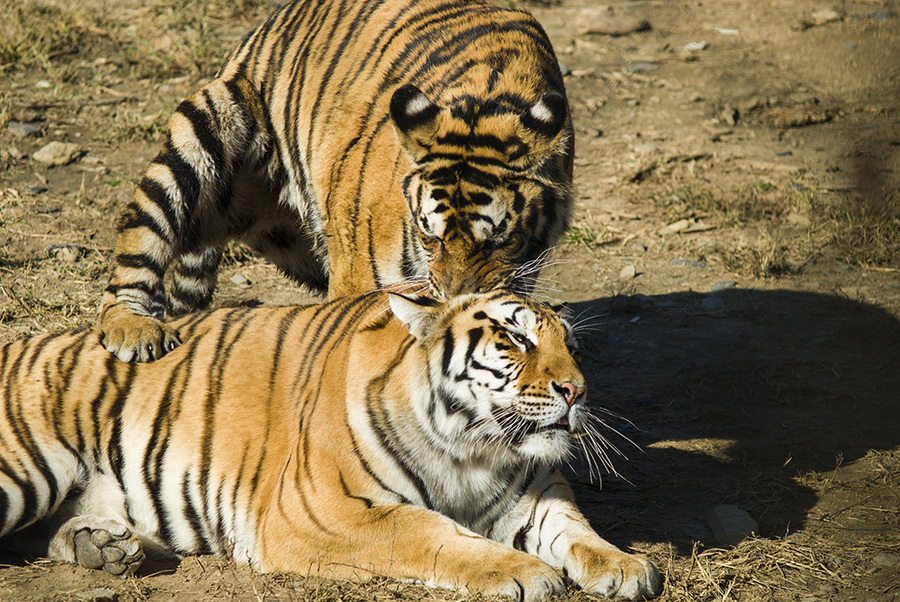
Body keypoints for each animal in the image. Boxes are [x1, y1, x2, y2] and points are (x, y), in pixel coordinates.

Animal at [0, 288, 660, 596]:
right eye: (515, 338)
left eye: (571, 345)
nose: (577, 391)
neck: (475, 451)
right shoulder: (323, 511)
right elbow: (430, 533)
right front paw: (525, 572)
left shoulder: (534, 496)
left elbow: (577, 532)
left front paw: (627, 567)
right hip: (25, 469)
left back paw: (103, 548)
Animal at [100, 0, 576, 360]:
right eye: (431, 237)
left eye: (499, 241)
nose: (453, 301)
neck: (486, 102)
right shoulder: (360, 280)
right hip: (204, 122)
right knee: (137, 245)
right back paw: (133, 328)